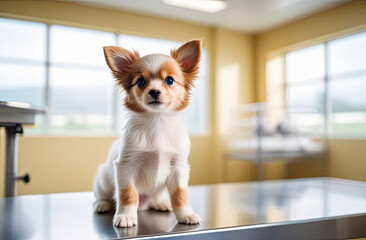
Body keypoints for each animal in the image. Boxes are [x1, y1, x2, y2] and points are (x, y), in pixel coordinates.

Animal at [93, 39, 202, 227]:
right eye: (141, 82)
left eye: (170, 80)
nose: (154, 91)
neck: (157, 122)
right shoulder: (126, 166)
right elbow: (127, 193)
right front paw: (125, 217)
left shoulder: (178, 166)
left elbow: (180, 194)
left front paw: (185, 214)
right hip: (102, 180)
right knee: (102, 196)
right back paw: (102, 204)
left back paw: (161, 203)